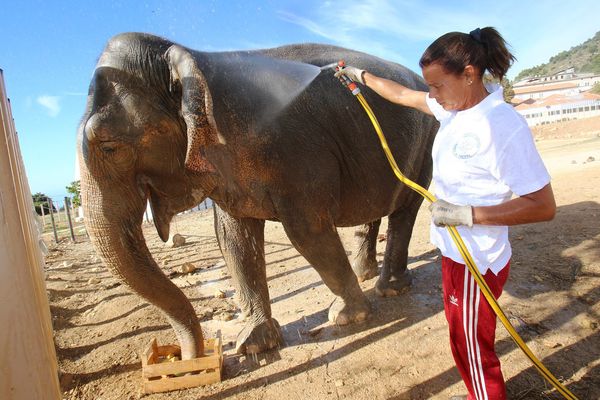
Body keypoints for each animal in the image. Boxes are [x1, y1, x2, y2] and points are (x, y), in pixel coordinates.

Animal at [77, 32, 438, 360]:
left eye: (109, 146)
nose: (185, 357)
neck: (193, 60)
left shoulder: (298, 152)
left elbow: (307, 232)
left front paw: (348, 318)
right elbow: (233, 239)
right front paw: (254, 344)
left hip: (425, 146)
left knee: (404, 210)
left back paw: (390, 288)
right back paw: (366, 274)